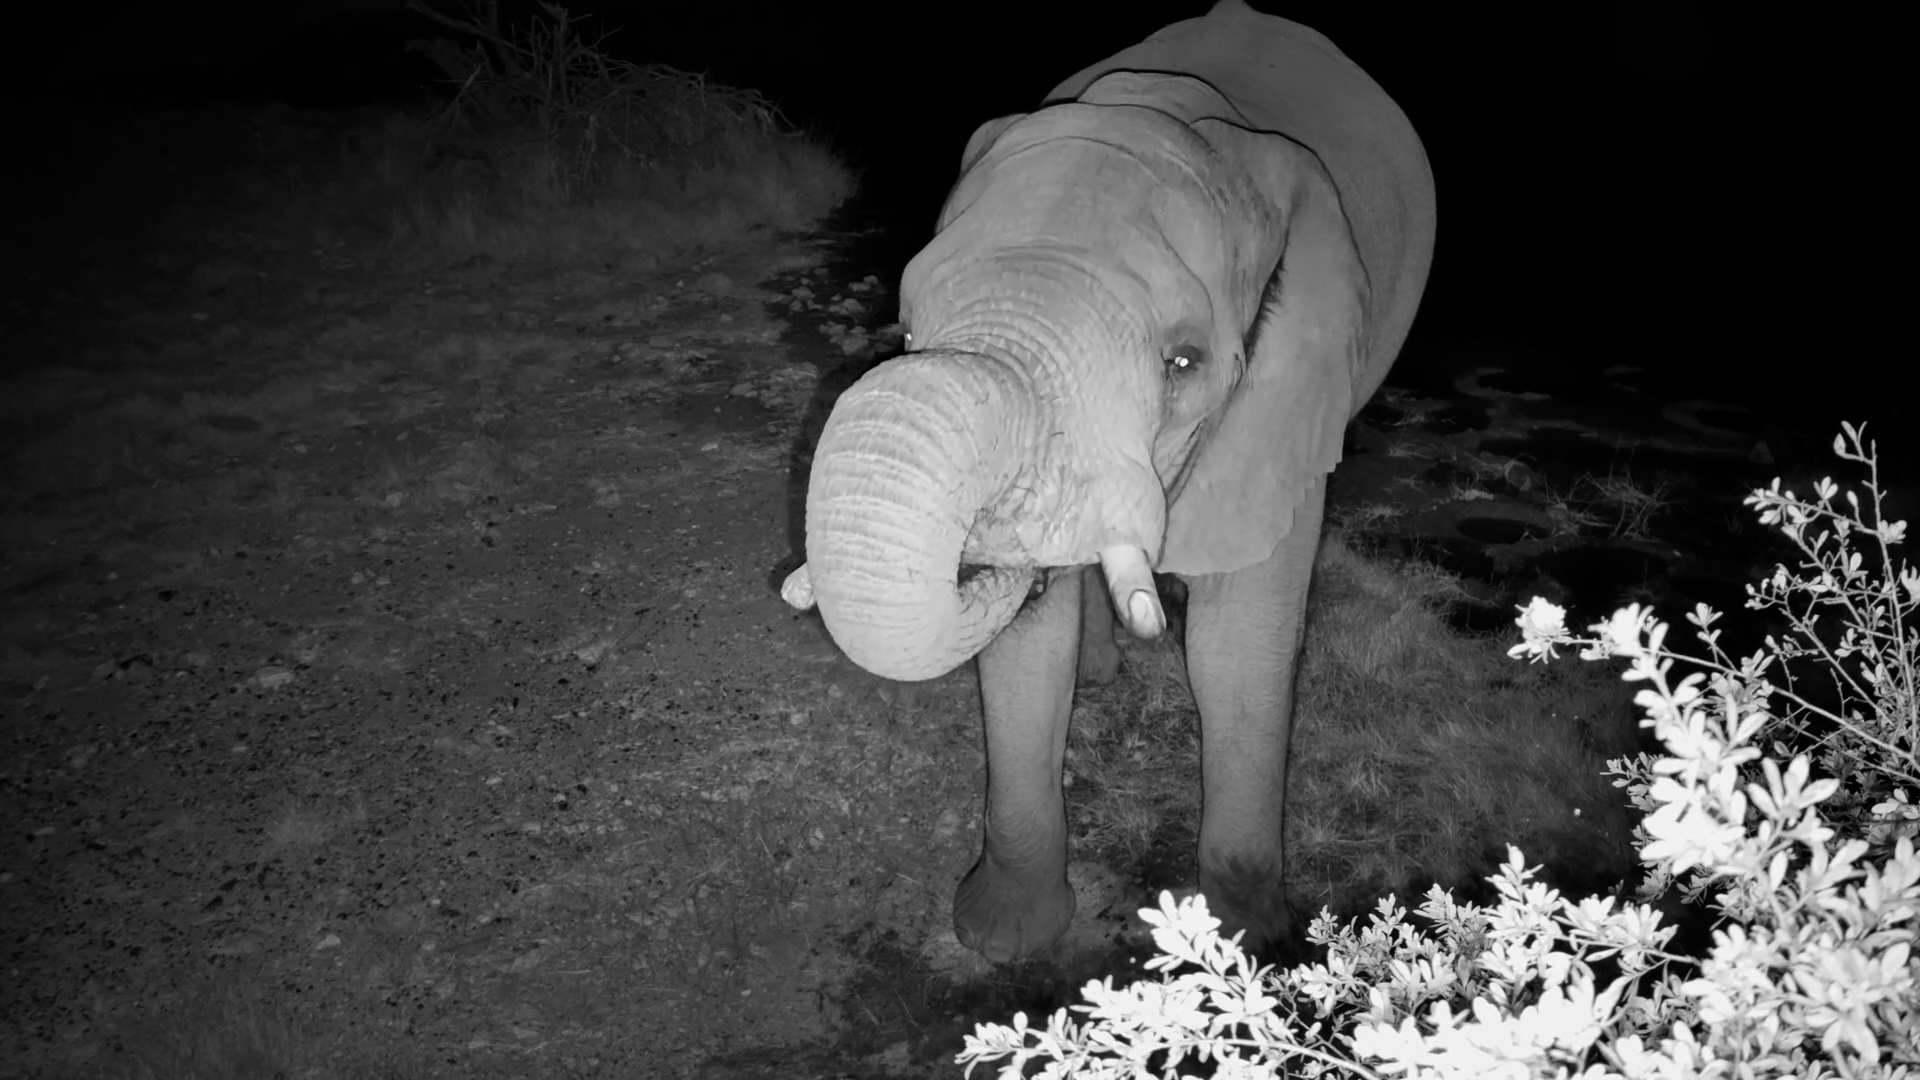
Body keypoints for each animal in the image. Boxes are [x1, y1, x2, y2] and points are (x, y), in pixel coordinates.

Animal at [781, 0, 1435, 962]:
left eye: (1183, 362)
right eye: (903, 328)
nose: (972, 553)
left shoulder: (1287, 390)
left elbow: (1237, 648)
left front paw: (1247, 954)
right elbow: (1026, 648)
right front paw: (1003, 940)